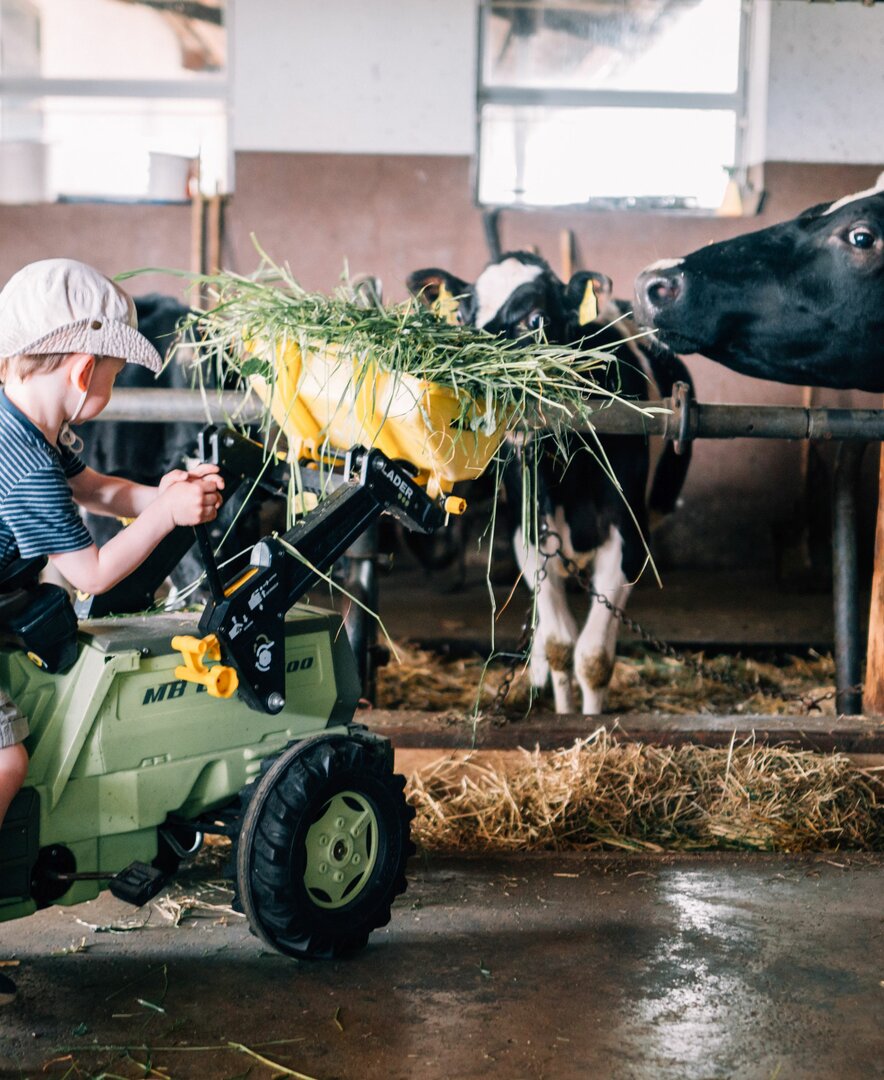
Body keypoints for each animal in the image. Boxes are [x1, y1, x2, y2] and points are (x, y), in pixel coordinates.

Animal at [412, 252, 695, 717]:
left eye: (537, 318)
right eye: (464, 316)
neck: (564, 475)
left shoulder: (629, 539)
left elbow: (593, 657)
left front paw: (590, 720)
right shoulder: (529, 535)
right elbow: (561, 646)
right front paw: (563, 712)